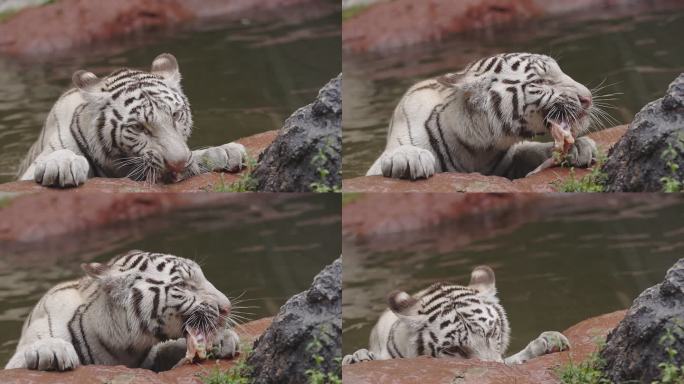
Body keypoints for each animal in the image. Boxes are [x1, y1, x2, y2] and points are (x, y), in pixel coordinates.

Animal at [5, 250, 239, 370]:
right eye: (182, 285)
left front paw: (222, 338)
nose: (227, 307)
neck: (125, 348)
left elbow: (172, 346)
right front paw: (53, 350)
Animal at [368, 52, 600, 180]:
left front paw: (579, 147)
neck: (477, 149)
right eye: (540, 82)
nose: (588, 97)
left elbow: (532, 149)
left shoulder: (508, 159)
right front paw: (410, 157)